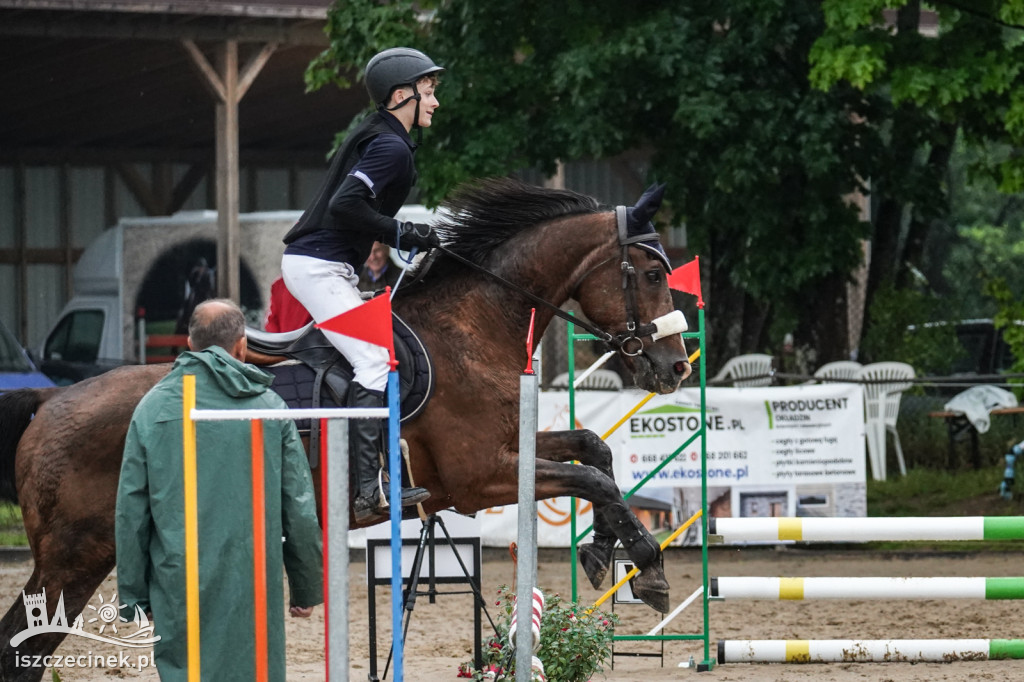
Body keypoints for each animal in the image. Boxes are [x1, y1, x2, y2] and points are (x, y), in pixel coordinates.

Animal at [0, 178, 692, 675]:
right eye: (653, 274)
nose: (676, 366)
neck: (474, 323)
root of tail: (51, 402)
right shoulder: (480, 477)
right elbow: (593, 478)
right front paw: (647, 566)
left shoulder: (507, 453)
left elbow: (594, 452)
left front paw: (605, 549)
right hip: (75, 557)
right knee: (21, 646)